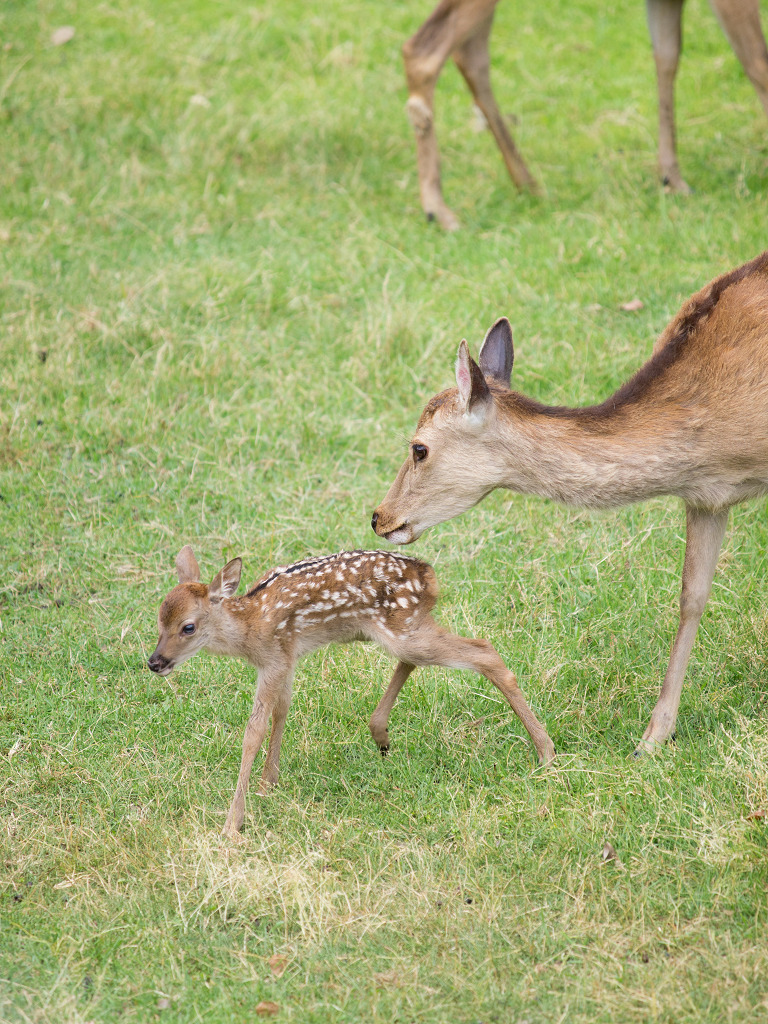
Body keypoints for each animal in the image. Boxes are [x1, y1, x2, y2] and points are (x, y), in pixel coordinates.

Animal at [403, 0, 768, 226]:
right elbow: (757, 66)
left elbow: (667, 55)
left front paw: (671, 177)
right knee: (424, 49)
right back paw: (438, 208)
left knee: (468, 50)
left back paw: (528, 183)